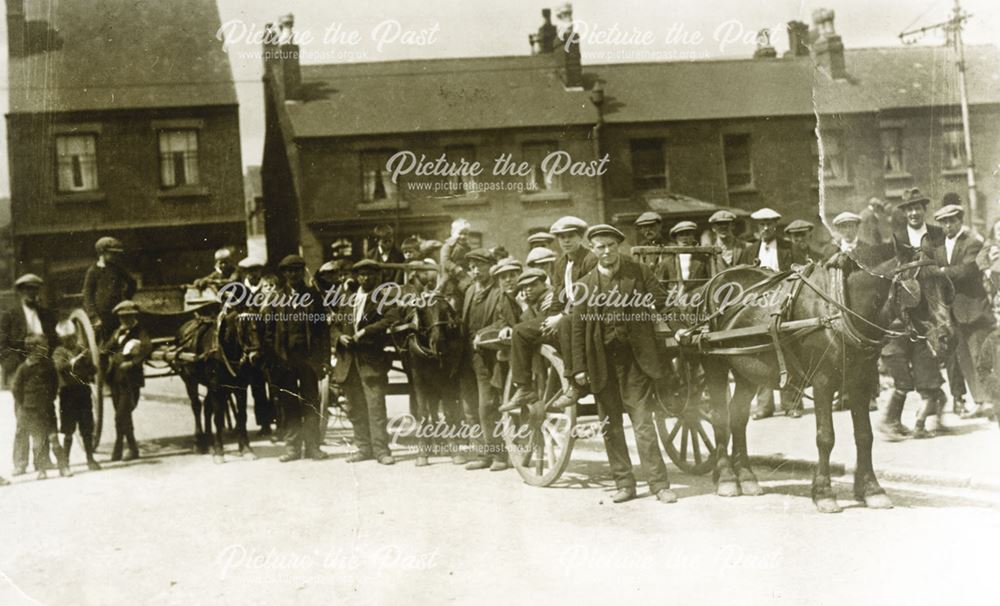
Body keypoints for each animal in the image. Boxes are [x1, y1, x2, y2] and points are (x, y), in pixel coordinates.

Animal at [684, 251, 956, 512]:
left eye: (946, 287)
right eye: (916, 291)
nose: (948, 338)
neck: (841, 309)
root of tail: (711, 282)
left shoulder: (860, 382)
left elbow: (864, 436)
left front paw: (872, 490)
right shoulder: (823, 383)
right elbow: (826, 437)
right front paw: (824, 493)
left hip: (747, 372)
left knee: (738, 418)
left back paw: (747, 476)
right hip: (715, 366)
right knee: (719, 418)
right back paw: (727, 478)